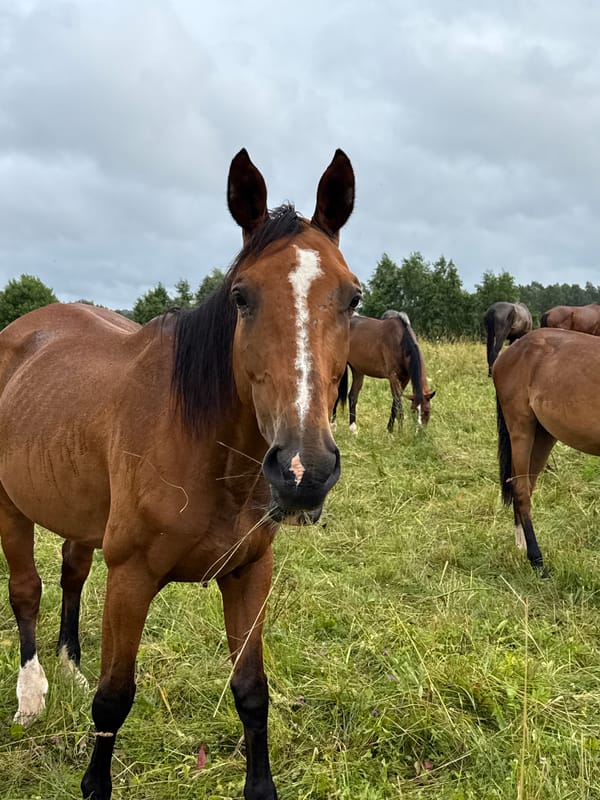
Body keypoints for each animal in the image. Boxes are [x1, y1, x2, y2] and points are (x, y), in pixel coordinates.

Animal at [0, 148, 361, 800]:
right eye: (241, 296)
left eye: (353, 298)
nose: (304, 470)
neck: (207, 453)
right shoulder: (131, 578)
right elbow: (113, 700)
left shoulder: (249, 574)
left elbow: (252, 693)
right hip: (10, 507)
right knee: (27, 591)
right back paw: (33, 696)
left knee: (70, 573)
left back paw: (68, 668)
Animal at [493, 327, 600, 573]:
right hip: (521, 428)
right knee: (521, 489)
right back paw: (536, 560)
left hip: (542, 434)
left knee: (525, 485)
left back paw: (522, 546)